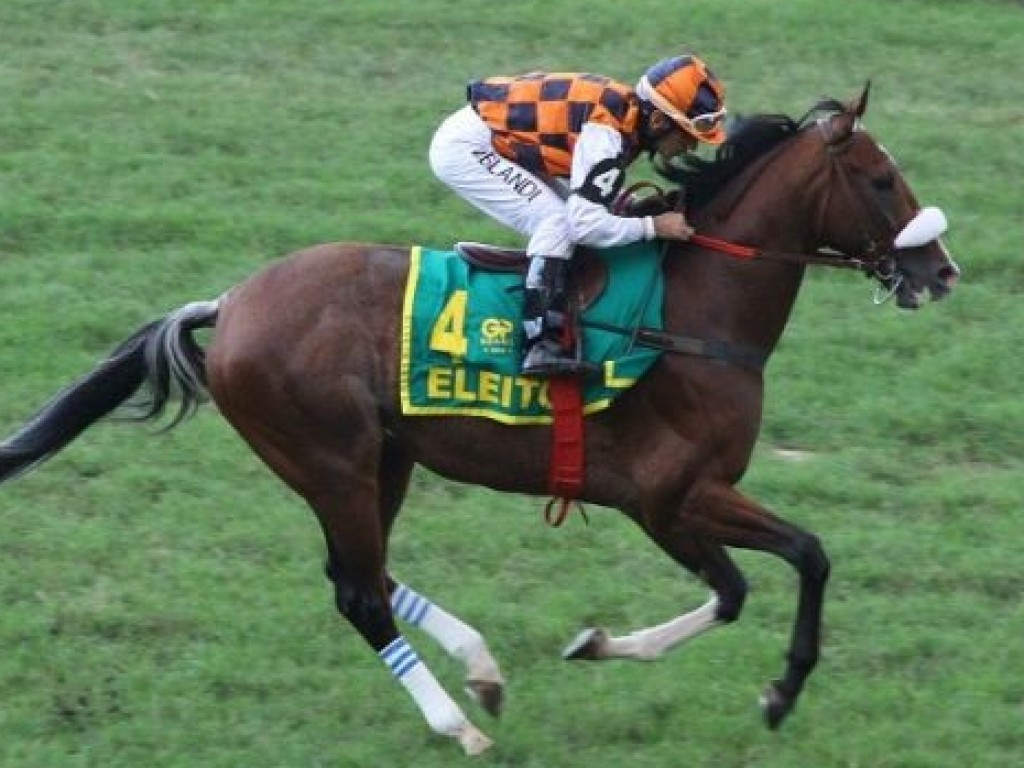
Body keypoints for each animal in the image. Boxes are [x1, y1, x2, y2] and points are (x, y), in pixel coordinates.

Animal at [0, 82, 958, 753]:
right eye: (881, 179)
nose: (941, 271)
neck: (695, 312)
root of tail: (230, 304)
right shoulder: (670, 496)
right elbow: (799, 559)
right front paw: (780, 690)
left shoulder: (677, 501)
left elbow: (738, 589)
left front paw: (597, 646)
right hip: (331, 460)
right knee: (359, 591)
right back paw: (460, 724)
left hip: (382, 458)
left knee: (364, 572)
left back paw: (483, 672)